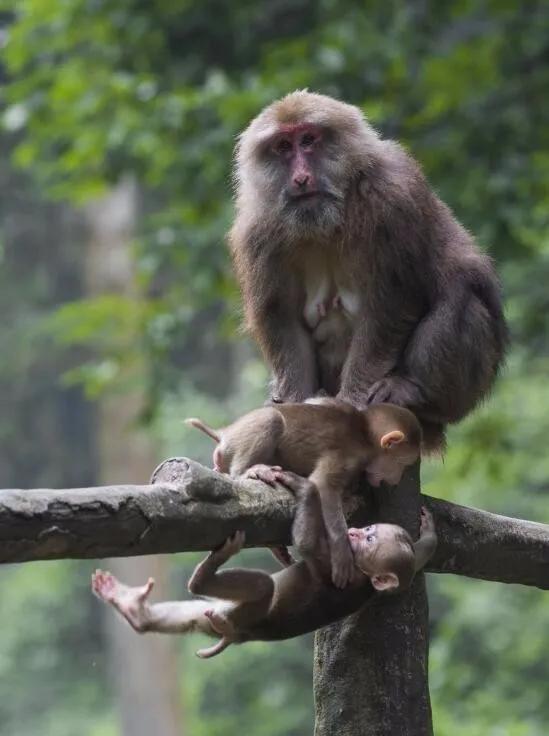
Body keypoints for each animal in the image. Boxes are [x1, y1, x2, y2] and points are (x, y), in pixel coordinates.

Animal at [91, 474, 436, 660]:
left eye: (370, 539)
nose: (355, 533)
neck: (365, 577)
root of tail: (236, 636)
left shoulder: (343, 566)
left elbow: (308, 546)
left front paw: (304, 487)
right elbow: (419, 556)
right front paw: (429, 533)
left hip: (243, 617)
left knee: (259, 587)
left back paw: (206, 572)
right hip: (223, 618)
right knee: (192, 615)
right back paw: (136, 611)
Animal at [185, 396, 420, 588]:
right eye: (400, 463)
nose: (396, 478)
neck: (363, 433)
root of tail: (224, 434)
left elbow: (315, 400)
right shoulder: (349, 456)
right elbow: (324, 486)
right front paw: (342, 551)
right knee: (271, 419)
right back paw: (250, 470)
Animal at [229, 90, 508, 452]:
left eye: (308, 140)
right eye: (283, 147)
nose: (301, 178)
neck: (327, 222)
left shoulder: (393, 198)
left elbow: (390, 306)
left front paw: (353, 403)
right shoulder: (257, 230)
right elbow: (282, 317)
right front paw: (291, 407)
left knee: (463, 297)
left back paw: (414, 390)